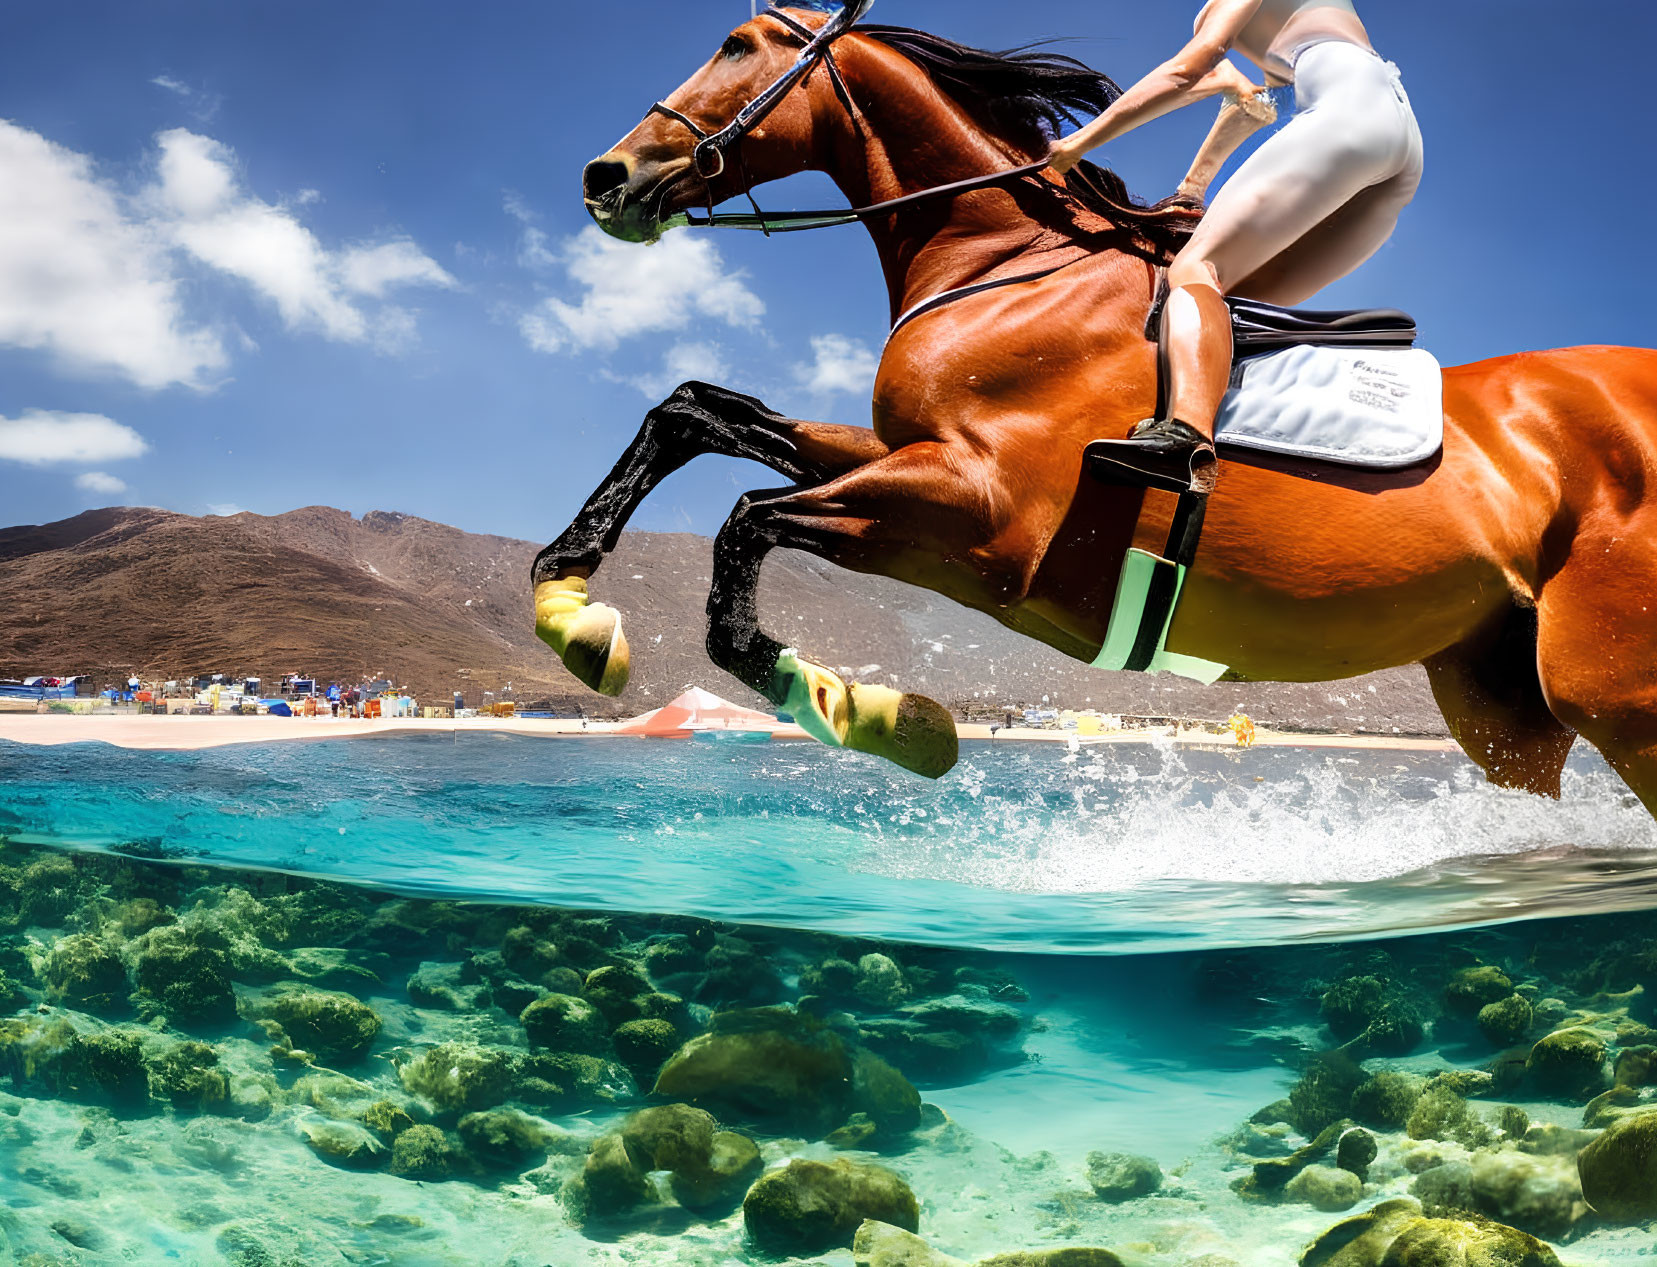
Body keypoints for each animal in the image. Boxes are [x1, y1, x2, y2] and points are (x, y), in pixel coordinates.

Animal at [530, 4, 1657, 814]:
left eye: (734, 43)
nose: (604, 175)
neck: (1004, 266)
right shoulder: (906, 456)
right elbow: (692, 410)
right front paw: (568, 599)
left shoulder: (978, 516)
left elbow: (745, 523)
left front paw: (874, 713)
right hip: (1503, 705)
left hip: (1613, 690)